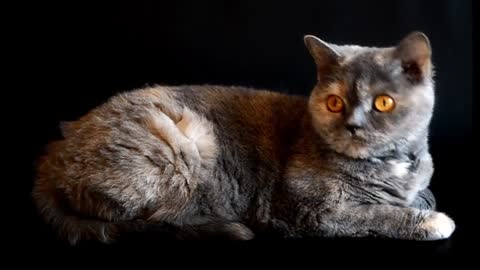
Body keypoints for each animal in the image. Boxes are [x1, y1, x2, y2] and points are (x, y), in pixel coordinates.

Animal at [32, 31, 454, 245]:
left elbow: (421, 192)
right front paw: (432, 221)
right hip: (186, 142)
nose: (353, 124)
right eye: (335, 102)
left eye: (383, 102)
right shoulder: (312, 212)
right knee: (150, 217)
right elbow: (377, 214)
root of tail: (53, 155)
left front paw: (421, 199)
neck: (390, 165)